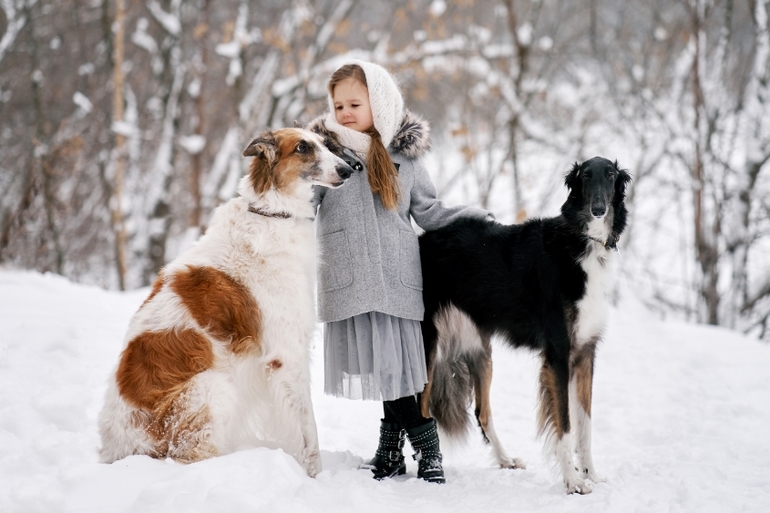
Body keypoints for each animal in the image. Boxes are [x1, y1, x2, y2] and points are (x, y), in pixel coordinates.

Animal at [97, 128, 352, 476]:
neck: (271, 213)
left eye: (326, 145)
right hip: (213, 388)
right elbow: (307, 433)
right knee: (191, 456)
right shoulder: (285, 355)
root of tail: (117, 451)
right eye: (302, 147)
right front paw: (314, 477)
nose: (349, 169)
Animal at [416, 155, 628, 492]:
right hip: (428, 346)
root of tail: (422, 240)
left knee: (482, 412)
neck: (579, 242)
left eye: (610, 175)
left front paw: (590, 474)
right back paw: (426, 472)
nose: (598, 209)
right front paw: (573, 481)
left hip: (479, 351)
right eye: (584, 176)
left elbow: (585, 426)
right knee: (420, 409)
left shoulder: (585, 353)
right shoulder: (558, 354)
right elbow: (565, 427)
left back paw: (505, 459)